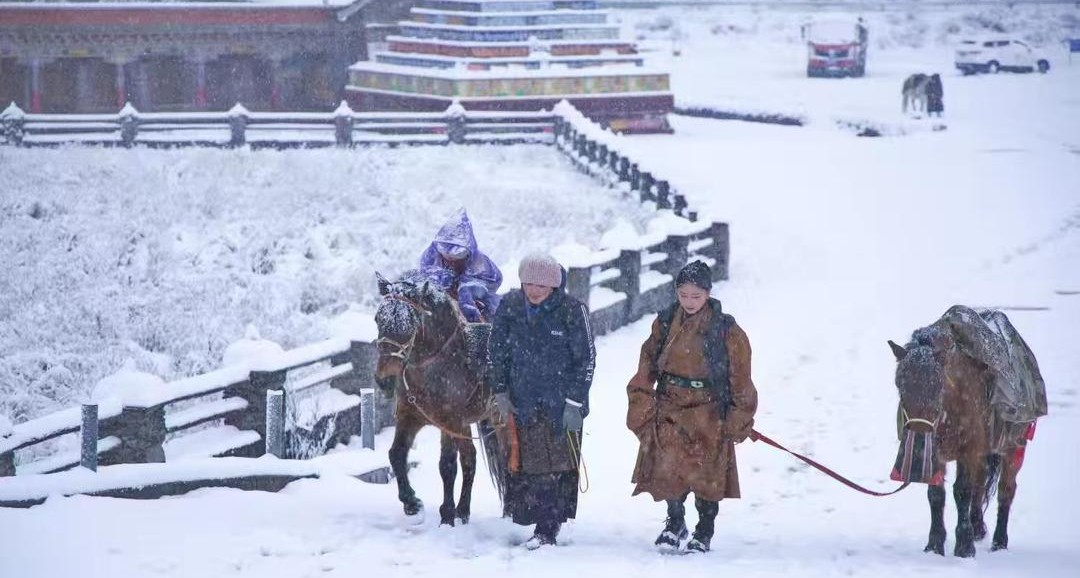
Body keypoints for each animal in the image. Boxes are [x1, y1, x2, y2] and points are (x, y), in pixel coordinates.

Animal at [374, 270, 500, 525]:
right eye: (377, 319)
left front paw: (446, 515)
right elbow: (396, 454)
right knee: (470, 459)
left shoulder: (449, 421)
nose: (386, 380)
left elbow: (447, 466)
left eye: (410, 323)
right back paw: (463, 510)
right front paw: (412, 503)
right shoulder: (409, 416)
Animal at [887, 305, 1046, 557]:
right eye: (899, 384)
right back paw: (978, 528)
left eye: (938, 386)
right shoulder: (938, 454)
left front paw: (964, 547)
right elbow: (936, 494)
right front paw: (934, 545)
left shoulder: (969, 451)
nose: (920, 439)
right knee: (980, 486)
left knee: (1006, 490)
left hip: (1015, 446)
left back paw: (999, 542)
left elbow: (962, 491)